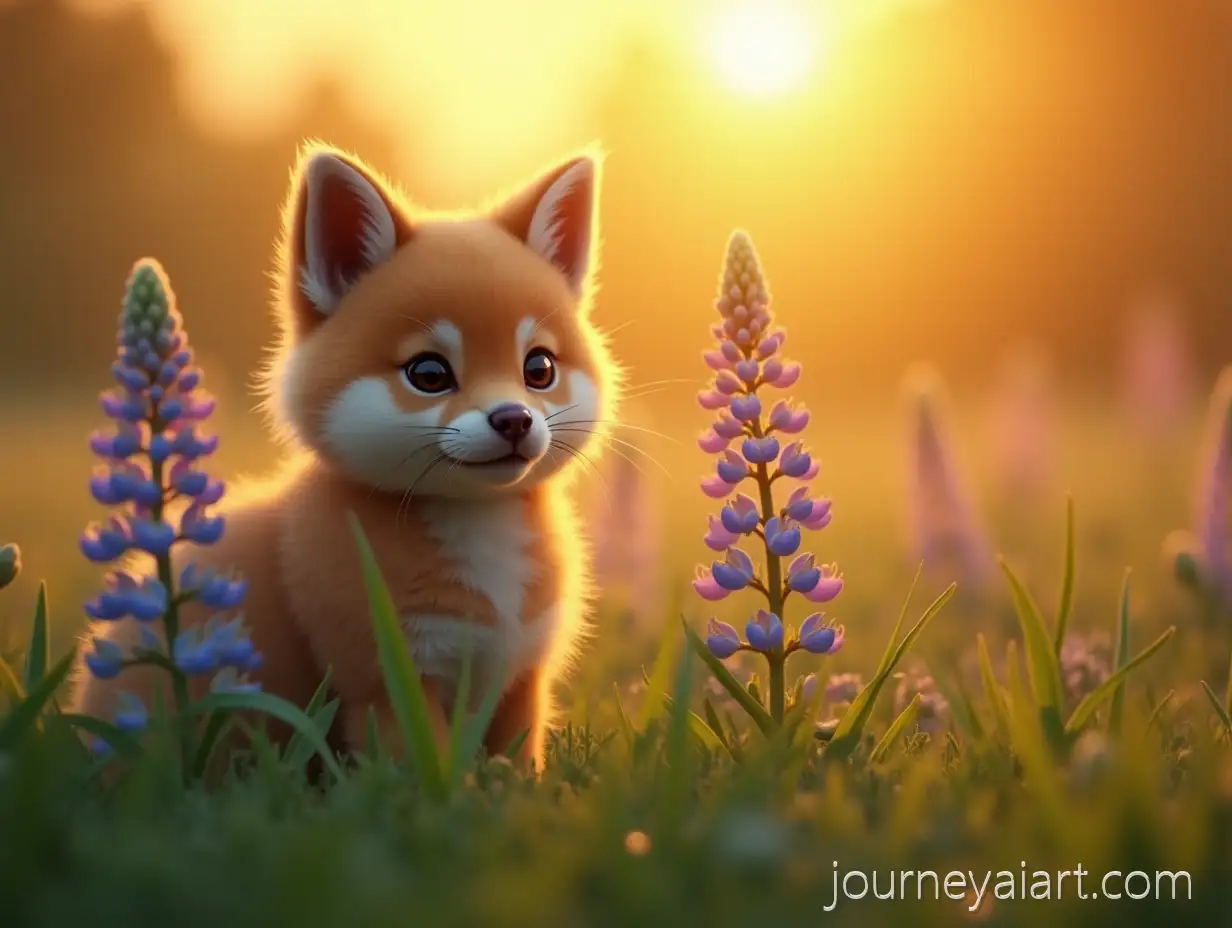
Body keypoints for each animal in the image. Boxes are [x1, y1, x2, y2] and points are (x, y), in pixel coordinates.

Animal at [71, 141, 620, 771]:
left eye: (540, 369)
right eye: (429, 374)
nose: (514, 419)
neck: (483, 535)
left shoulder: (522, 675)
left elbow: (517, 767)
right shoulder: (386, 682)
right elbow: (427, 772)